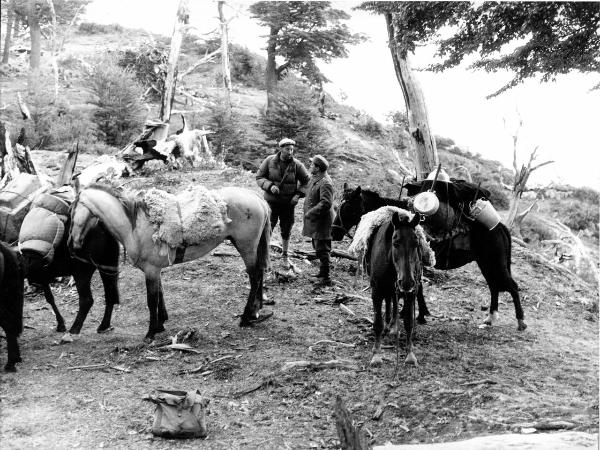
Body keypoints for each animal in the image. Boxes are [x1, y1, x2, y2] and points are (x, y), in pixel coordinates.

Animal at [68, 183, 272, 342]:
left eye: (71, 211)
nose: (72, 244)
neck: (134, 226)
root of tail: (256, 197)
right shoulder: (155, 270)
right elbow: (160, 295)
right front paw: (160, 324)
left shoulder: (151, 270)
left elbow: (152, 300)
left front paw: (150, 332)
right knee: (260, 273)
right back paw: (255, 311)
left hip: (246, 247)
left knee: (255, 278)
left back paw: (246, 317)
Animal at [336, 183, 528, 330]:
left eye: (348, 207)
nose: (334, 232)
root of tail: (501, 227)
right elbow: (418, 287)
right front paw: (420, 314)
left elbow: (416, 287)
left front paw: (414, 314)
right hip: (486, 264)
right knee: (494, 286)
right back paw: (490, 318)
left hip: (495, 263)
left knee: (511, 286)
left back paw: (520, 321)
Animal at [364, 212, 424, 366]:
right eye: (395, 243)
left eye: (416, 244)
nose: (407, 282)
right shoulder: (376, 292)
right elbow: (378, 323)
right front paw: (376, 354)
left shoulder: (411, 292)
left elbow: (409, 322)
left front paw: (410, 354)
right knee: (390, 301)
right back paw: (389, 325)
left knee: (394, 301)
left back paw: (394, 327)